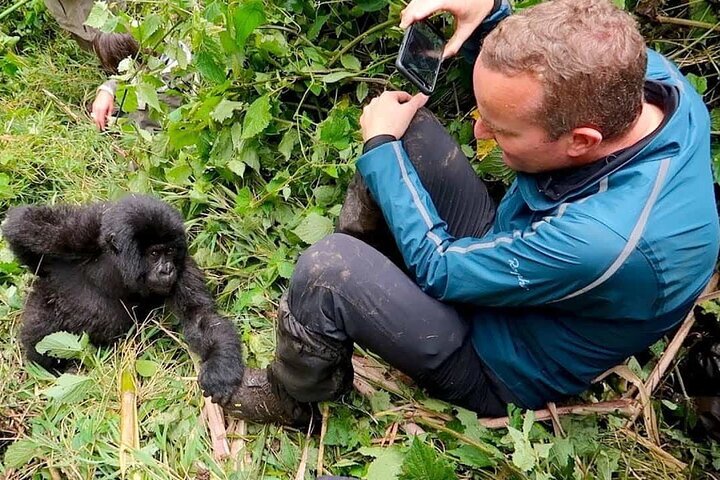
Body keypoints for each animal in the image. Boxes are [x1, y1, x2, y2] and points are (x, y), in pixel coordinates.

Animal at [0, 194, 245, 402]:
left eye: (170, 252)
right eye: (154, 254)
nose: (167, 270)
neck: (119, 265)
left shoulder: (183, 268)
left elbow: (200, 316)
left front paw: (220, 366)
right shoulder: (83, 229)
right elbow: (21, 224)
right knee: (42, 324)